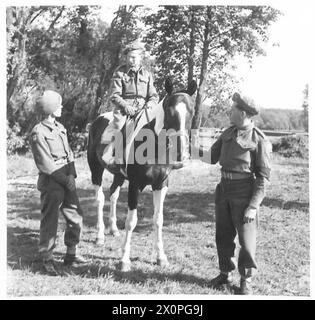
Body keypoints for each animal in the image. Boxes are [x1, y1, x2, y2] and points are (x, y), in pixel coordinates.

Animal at [87, 79, 196, 272]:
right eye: (170, 112)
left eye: (192, 112)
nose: (181, 153)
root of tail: (96, 121)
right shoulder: (134, 184)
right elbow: (131, 221)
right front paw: (124, 260)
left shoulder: (161, 184)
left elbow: (158, 219)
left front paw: (161, 257)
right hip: (96, 170)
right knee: (100, 198)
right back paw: (100, 236)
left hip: (119, 176)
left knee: (113, 194)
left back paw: (113, 229)